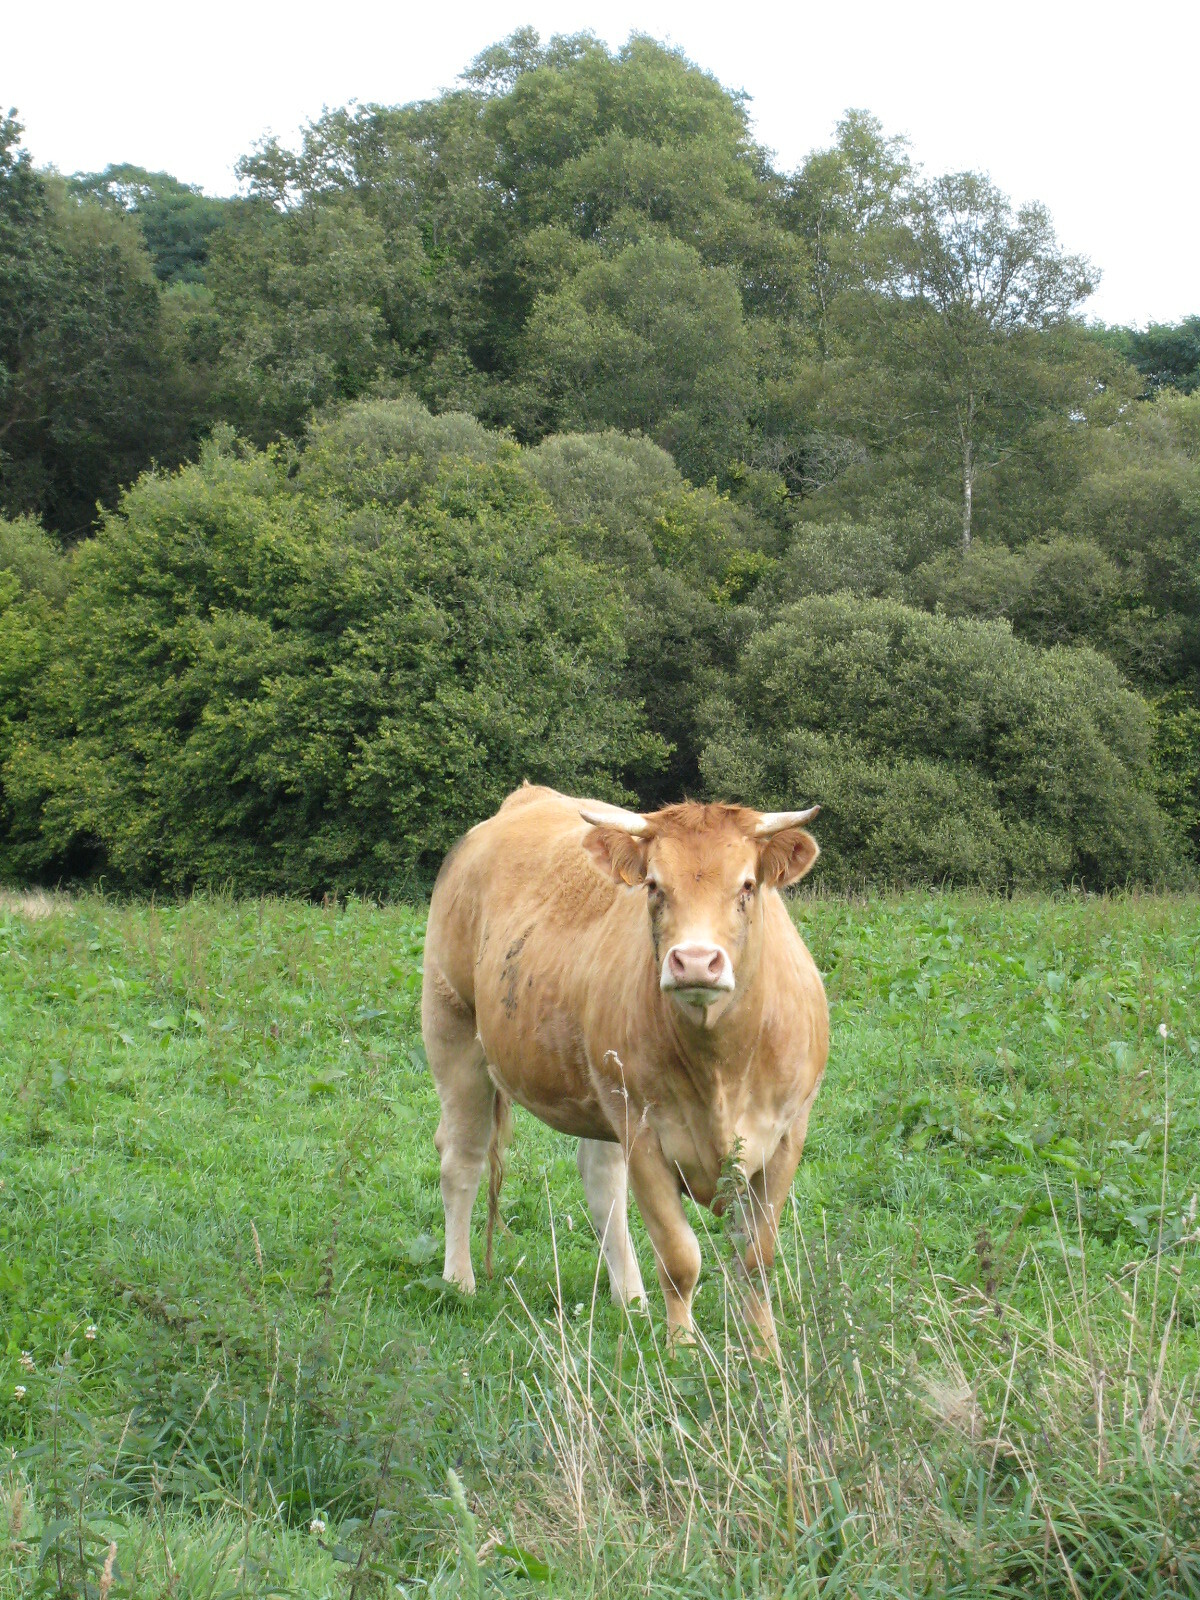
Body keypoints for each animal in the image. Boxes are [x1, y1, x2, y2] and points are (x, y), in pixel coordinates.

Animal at [420, 783, 828, 1343]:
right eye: (655, 886)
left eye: (747, 886)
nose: (695, 961)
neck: (720, 1067)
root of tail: (527, 797)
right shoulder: (645, 1134)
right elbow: (680, 1258)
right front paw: (682, 1350)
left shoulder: (788, 1134)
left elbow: (756, 1259)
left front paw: (765, 1349)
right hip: (453, 1027)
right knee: (462, 1158)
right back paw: (458, 1281)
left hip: (598, 1087)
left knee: (599, 1180)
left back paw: (630, 1300)